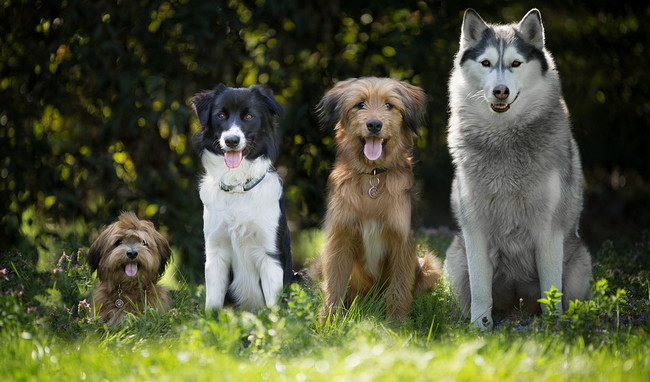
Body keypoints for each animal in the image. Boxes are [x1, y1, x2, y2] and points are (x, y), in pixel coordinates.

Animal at [312, 77, 440, 320]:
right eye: (360, 104)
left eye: (389, 105)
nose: (374, 124)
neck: (372, 176)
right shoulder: (340, 239)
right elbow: (334, 287)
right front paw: (328, 322)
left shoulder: (402, 241)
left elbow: (399, 289)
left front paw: (396, 323)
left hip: (429, 266)